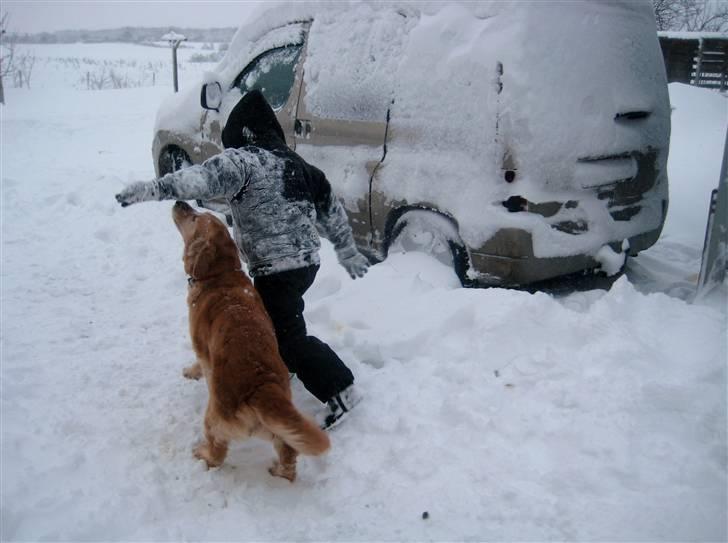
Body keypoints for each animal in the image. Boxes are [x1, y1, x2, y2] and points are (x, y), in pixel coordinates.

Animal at [171, 202, 330, 482]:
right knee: (289, 454)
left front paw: (191, 372)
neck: (220, 274)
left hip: (214, 420)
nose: (180, 202)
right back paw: (279, 474)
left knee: (218, 452)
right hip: (278, 431)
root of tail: (261, 386)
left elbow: (200, 364)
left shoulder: (201, 348)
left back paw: (202, 455)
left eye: (194, 218)